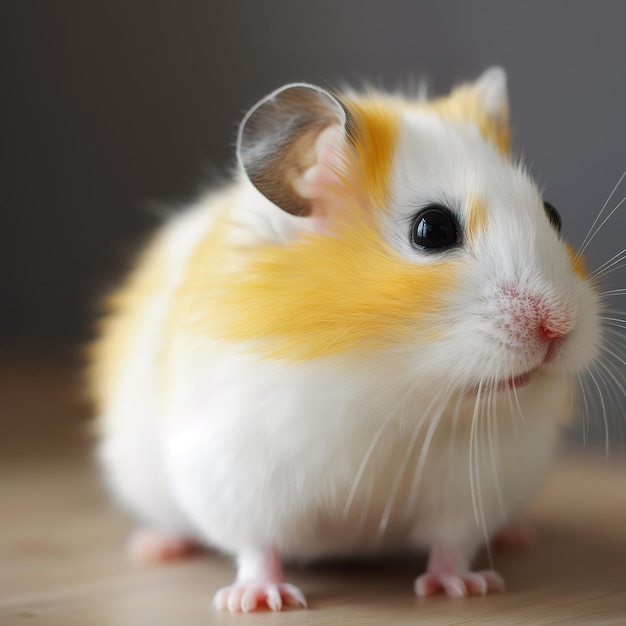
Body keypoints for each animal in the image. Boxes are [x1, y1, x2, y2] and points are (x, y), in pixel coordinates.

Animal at [88, 68, 600, 608]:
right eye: (432, 230)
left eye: (552, 213)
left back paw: (516, 538)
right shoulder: (241, 471)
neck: (392, 390)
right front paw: (258, 602)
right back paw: (155, 546)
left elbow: (452, 542)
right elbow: (256, 545)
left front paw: (464, 588)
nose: (559, 327)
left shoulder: (474, 483)